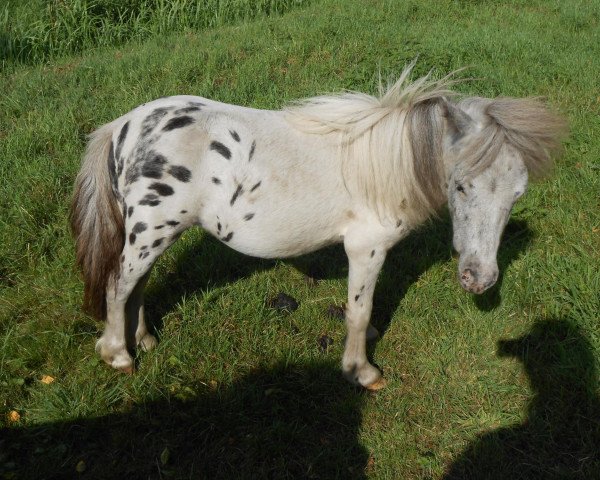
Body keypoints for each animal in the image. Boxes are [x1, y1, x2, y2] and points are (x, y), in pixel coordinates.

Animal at [71, 62, 568, 390]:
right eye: (462, 186)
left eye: (517, 194)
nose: (479, 279)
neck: (385, 167)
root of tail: (124, 125)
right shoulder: (365, 247)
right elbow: (359, 309)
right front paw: (362, 371)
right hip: (150, 232)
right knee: (118, 285)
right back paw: (118, 355)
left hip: (157, 235)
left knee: (137, 285)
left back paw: (144, 340)